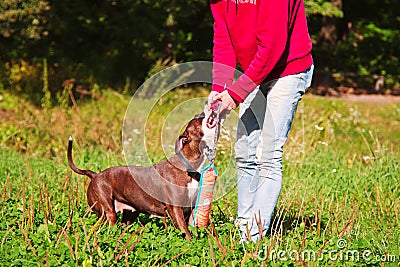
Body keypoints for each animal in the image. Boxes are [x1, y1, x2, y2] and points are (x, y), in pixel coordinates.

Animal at [67, 111, 220, 241]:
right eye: (201, 120)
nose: (202, 112)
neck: (189, 167)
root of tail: (95, 175)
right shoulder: (175, 209)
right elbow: (185, 231)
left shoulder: (191, 209)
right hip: (107, 211)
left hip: (129, 214)